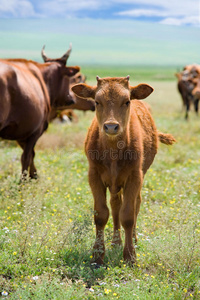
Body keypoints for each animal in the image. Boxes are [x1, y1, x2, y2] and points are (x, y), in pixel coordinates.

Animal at [0, 44, 79, 178]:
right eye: (69, 78)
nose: (71, 98)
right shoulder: (36, 130)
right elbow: (27, 157)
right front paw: (25, 180)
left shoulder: (21, 133)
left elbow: (30, 155)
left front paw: (34, 175)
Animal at [72, 76, 176, 264]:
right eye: (97, 102)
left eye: (126, 101)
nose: (111, 126)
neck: (113, 150)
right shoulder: (94, 176)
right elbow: (101, 214)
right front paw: (98, 255)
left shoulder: (134, 177)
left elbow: (128, 215)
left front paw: (130, 256)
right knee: (115, 205)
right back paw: (116, 241)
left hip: (140, 175)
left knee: (136, 204)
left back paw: (133, 238)